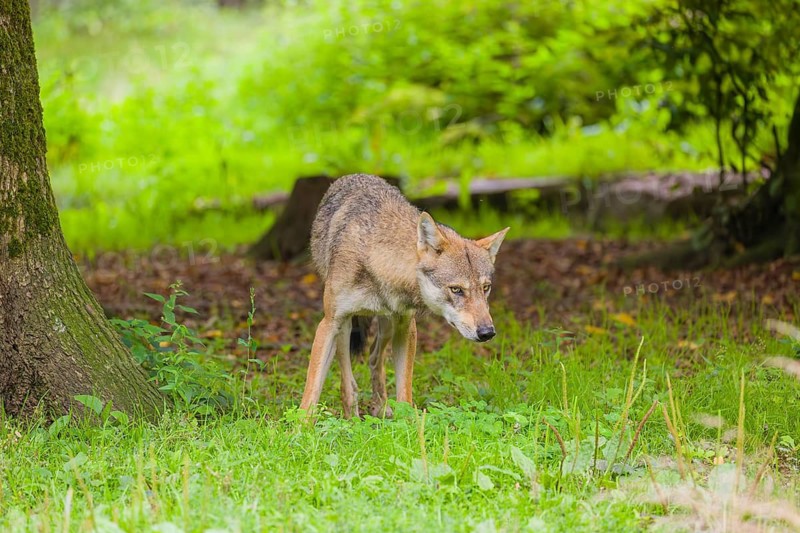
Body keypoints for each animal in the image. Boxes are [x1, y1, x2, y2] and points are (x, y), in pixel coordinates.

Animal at [299, 174, 509, 418]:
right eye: (456, 289)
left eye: (486, 288)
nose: (487, 332)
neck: (378, 263)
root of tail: (357, 175)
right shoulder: (329, 324)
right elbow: (312, 390)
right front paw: (301, 426)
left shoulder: (406, 326)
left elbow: (405, 394)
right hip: (345, 328)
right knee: (348, 377)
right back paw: (353, 414)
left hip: (386, 326)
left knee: (374, 358)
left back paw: (381, 408)